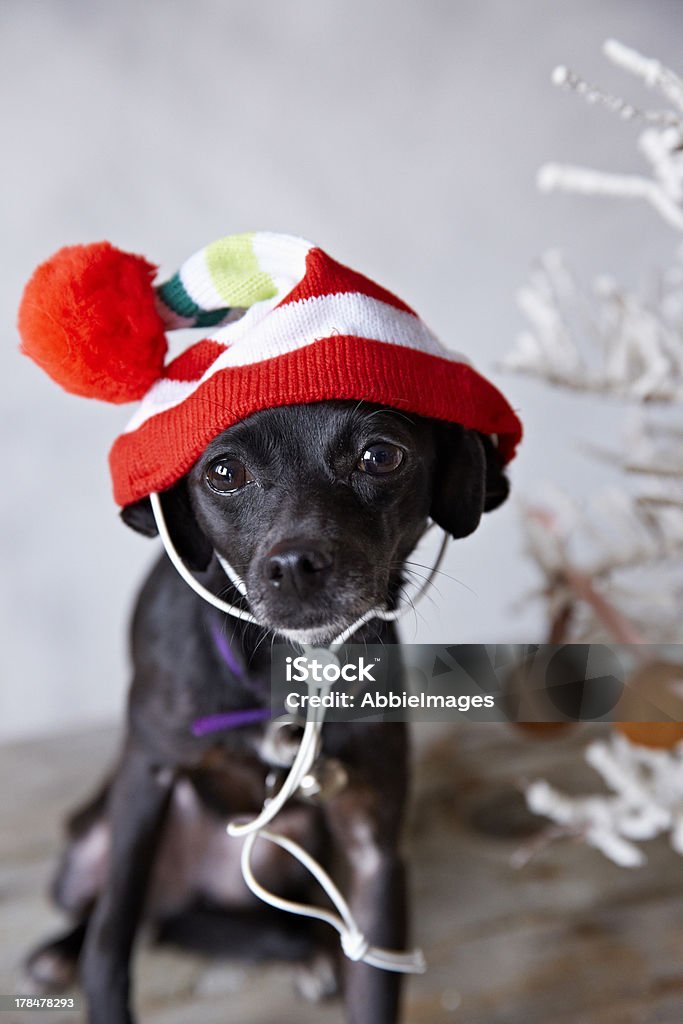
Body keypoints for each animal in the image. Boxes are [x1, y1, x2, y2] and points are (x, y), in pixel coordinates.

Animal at [25, 399, 507, 1024]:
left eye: (381, 455)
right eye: (224, 472)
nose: (296, 565)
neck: (288, 671)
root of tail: (188, 885)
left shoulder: (372, 847)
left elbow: (375, 982)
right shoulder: (145, 782)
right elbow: (112, 935)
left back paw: (312, 952)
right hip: (87, 849)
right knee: (117, 911)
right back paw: (61, 951)